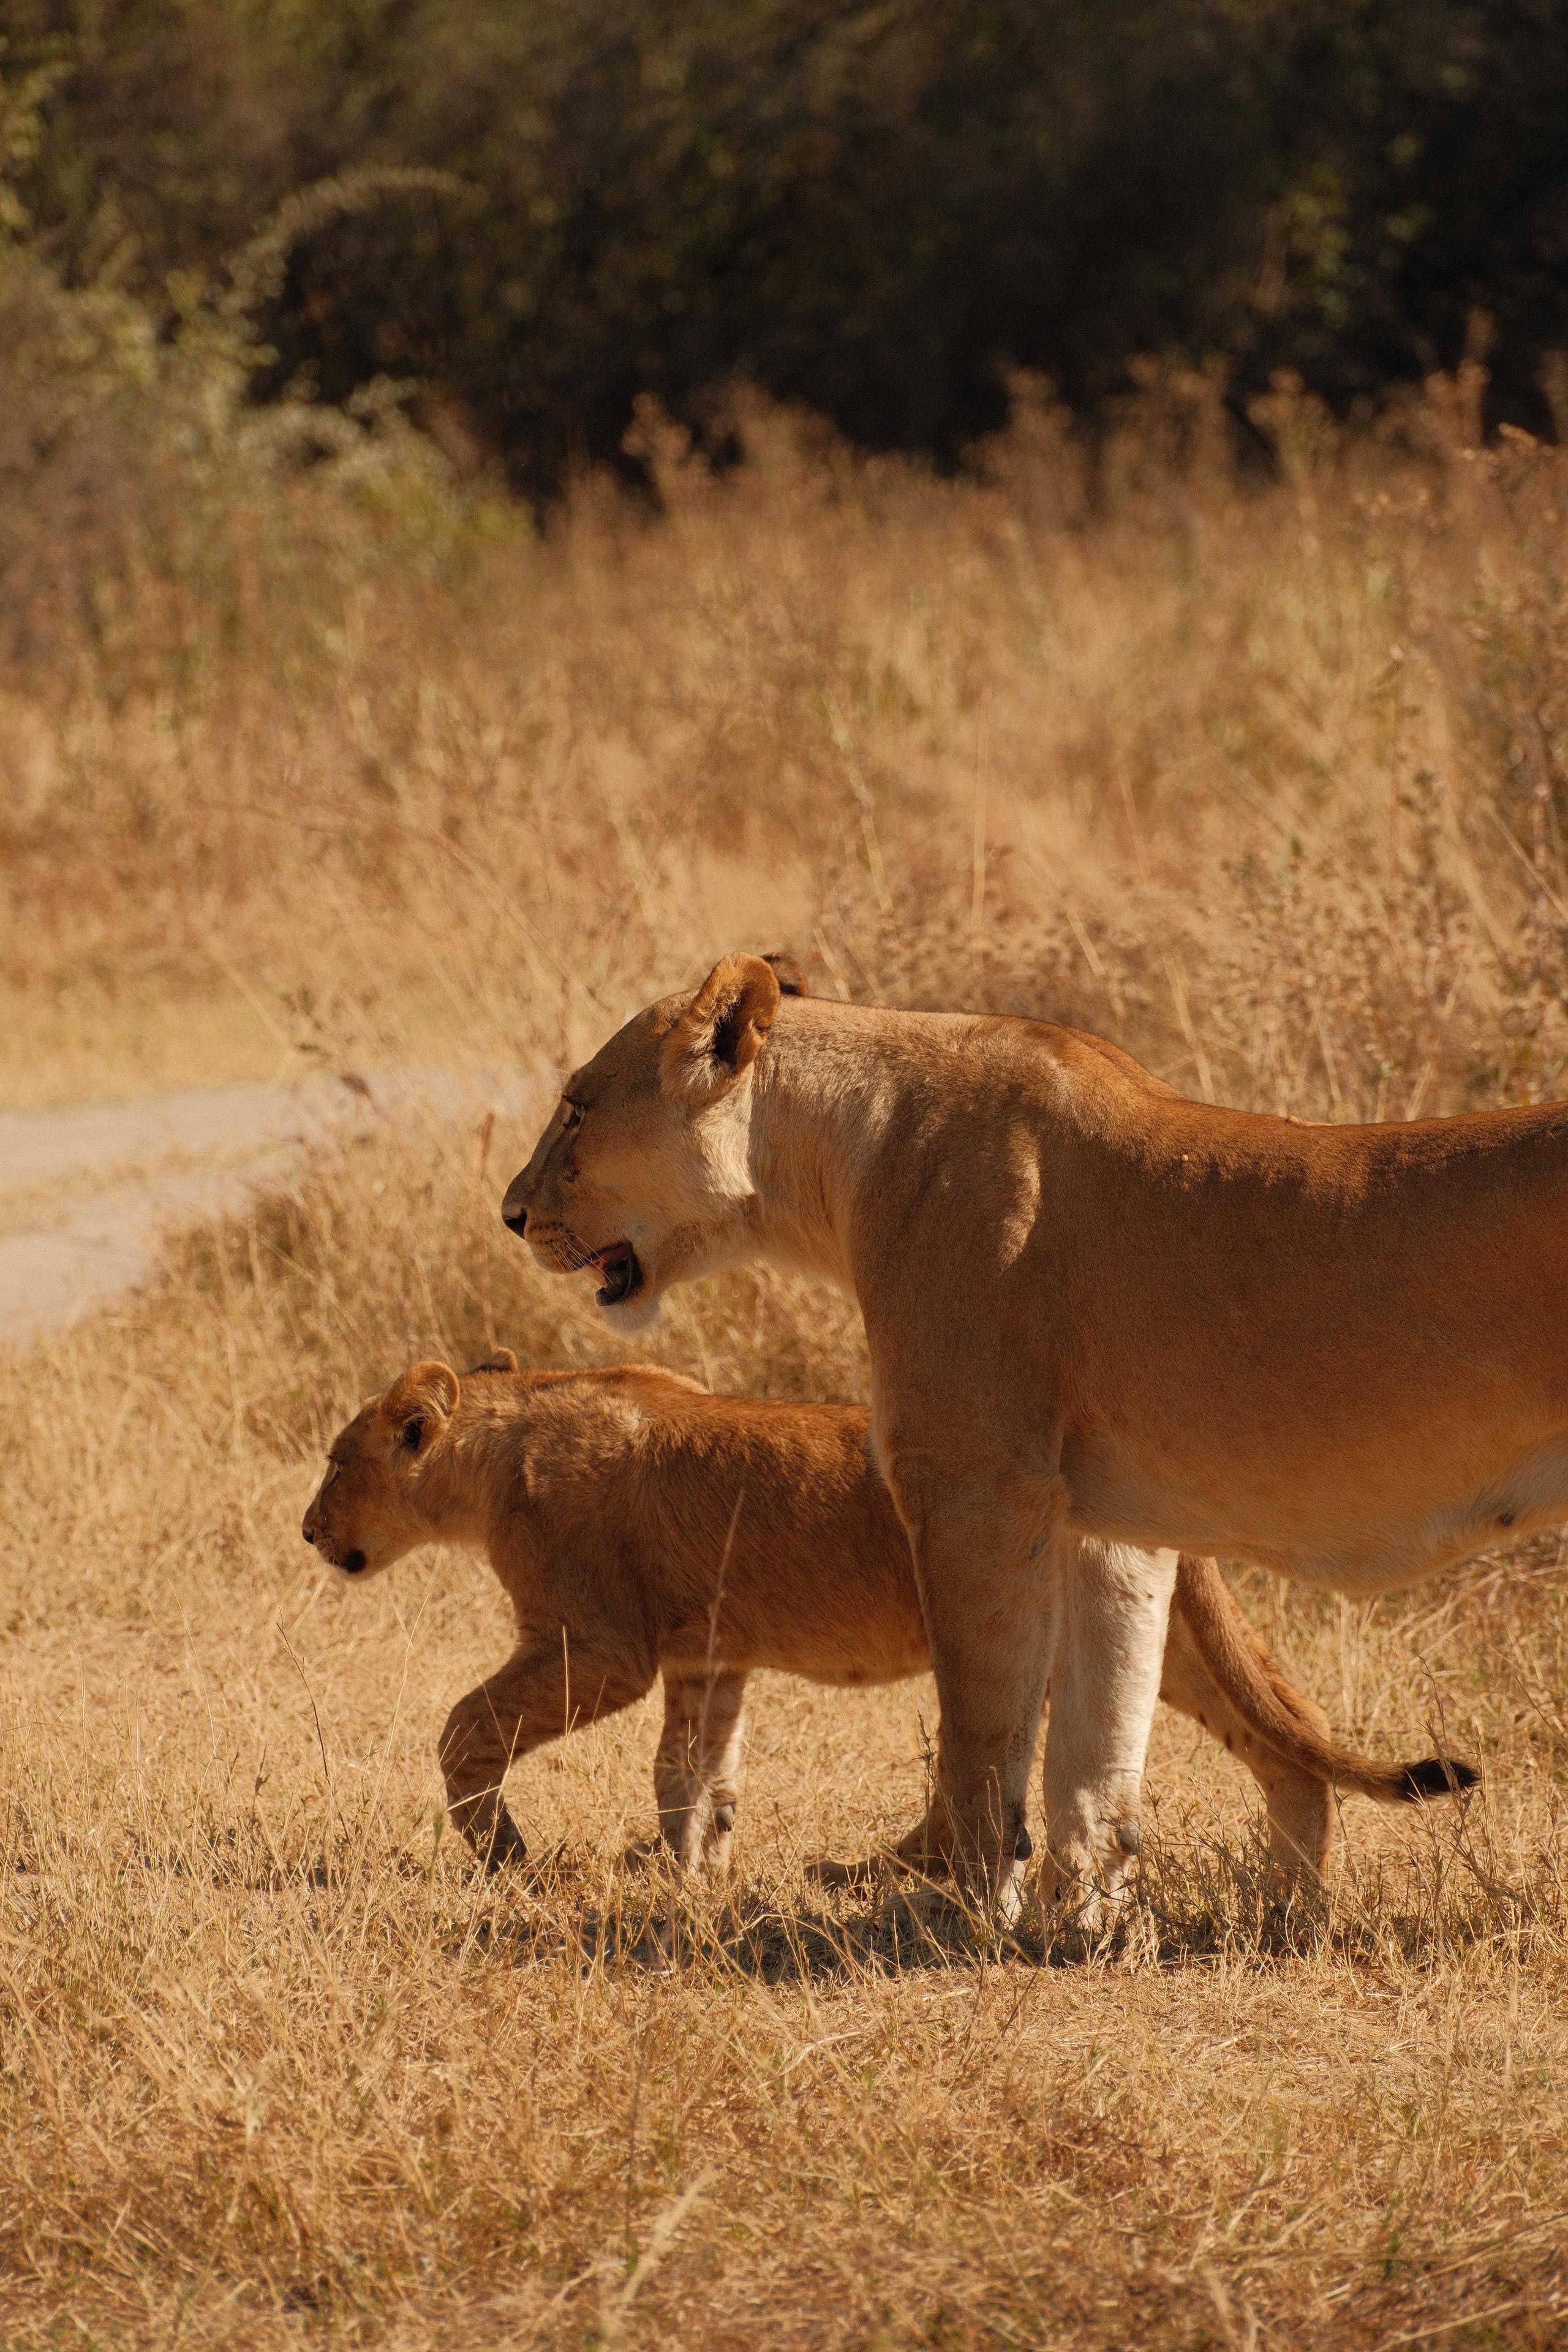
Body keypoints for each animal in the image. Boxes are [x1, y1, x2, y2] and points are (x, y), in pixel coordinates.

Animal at [301, 1350, 1475, 1887]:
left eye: (338, 1462)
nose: (310, 1532)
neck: (491, 1454)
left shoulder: (600, 1647)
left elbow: (466, 1726)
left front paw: (503, 1852)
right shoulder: (709, 1656)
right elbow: (690, 1776)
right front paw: (690, 1880)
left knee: (985, 1777)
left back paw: (874, 1874)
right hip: (1166, 1637)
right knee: (1291, 1743)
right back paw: (1293, 1903)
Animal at [499, 951, 1553, 1912]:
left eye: (578, 1108)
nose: (511, 1213)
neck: (842, 1159)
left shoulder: (974, 1484)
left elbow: (982, 1735)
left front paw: (969, 1924)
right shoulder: (1104, 1523)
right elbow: (1094, 1751)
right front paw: (1080, 1925)